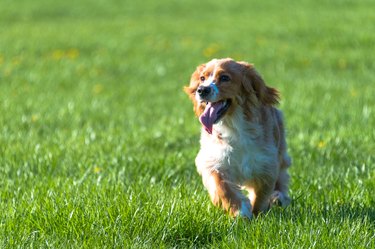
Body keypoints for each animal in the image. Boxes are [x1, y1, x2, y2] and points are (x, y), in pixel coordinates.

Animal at [184, 57, 292, 218]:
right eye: (202, 78)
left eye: (224, 78)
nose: (202, 89)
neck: (233, 127)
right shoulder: (214, 160)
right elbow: (222, 186)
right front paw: (240, 211)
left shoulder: (265, 163)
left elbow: (260, 195)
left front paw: (257, 213)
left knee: (281, 179)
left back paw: (279, 198)